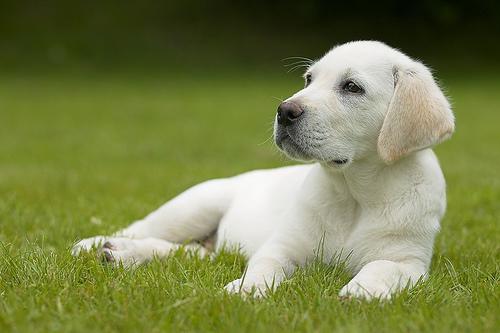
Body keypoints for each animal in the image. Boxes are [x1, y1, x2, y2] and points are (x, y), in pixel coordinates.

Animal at [73, 40, 454, 298]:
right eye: (308, 79)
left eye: (352, 87)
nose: (285, 111)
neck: (353, 192)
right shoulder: (282, 246)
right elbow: (264, 267)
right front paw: (245, 290)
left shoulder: (408, 262)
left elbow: (382, 269)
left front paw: (361, 292)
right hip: (192, 206)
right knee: (142, 228)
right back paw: (97, 244)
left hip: (210, 246)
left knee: (187, 252)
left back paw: (122, 256)